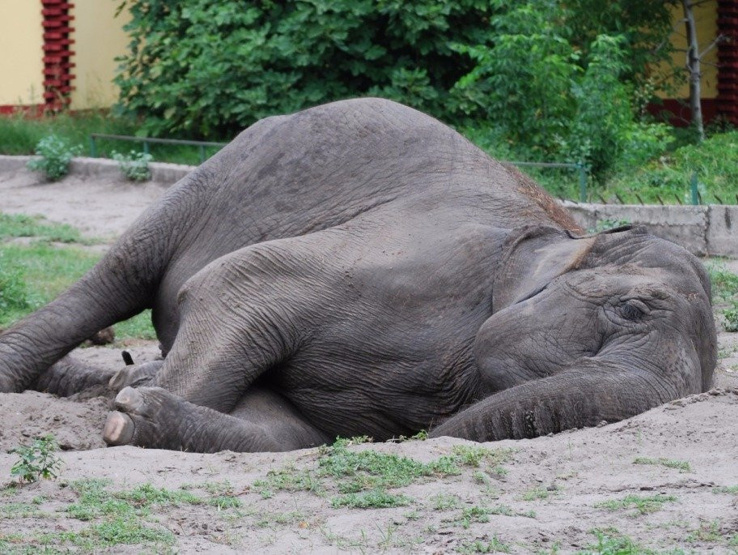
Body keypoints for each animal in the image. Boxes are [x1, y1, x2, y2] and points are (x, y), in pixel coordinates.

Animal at [0, 98, 717, 453]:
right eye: (632, 310)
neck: (563, 234)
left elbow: (286, 431)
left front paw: (136, 409)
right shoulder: (425, 259)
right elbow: (240, 281)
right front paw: (120, 424)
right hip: (217, 175)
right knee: (116, 275)